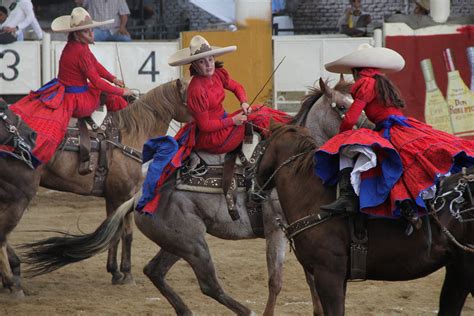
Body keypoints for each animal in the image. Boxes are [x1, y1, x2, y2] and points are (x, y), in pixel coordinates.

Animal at [39, 78, 191, 284]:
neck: (131, 138)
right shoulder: (122, 196)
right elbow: (125, 233)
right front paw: (126, 273)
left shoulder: (114, 198)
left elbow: (117, 233)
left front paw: (115, 271)